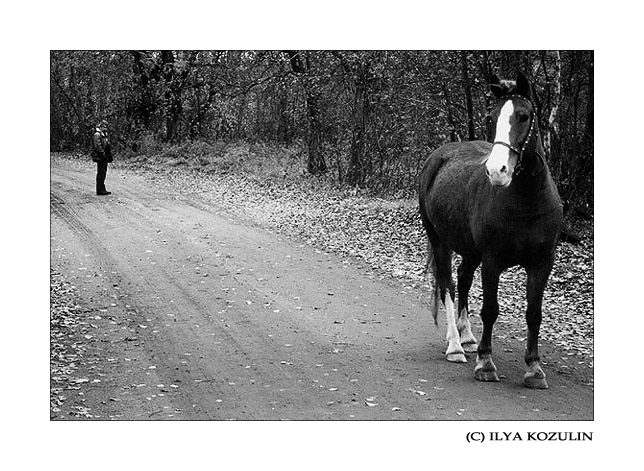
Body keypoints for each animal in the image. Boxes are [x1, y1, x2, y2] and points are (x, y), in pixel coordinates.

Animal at [418, 72, 564, 390]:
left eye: (523, 116)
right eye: (492, 117)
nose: (497, 171)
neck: (526, 201)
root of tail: (438, 156)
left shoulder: (542, 264)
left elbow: (534, 314)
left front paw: (534, 368)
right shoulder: (493, 262)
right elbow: (490, 309)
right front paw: (485, 363)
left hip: (471, 251)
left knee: (462, 279)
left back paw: (466, 336)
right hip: (440, 241)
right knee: (448, 285)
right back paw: (455, 346)